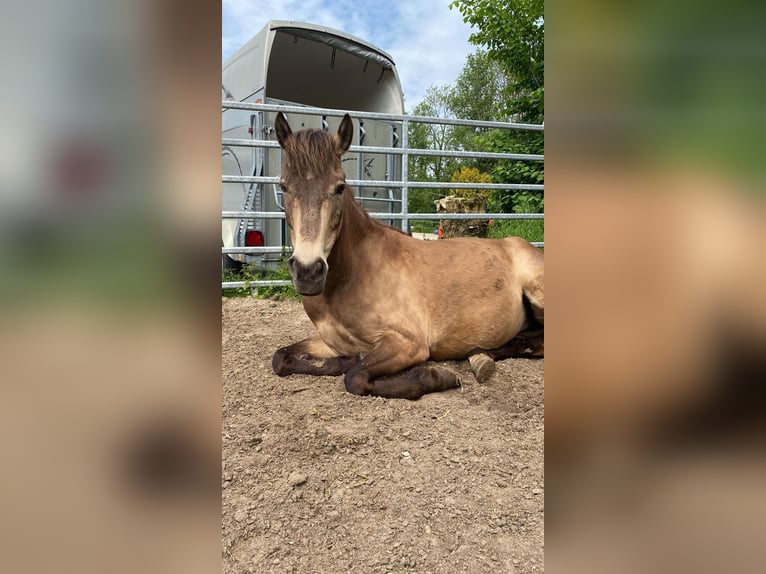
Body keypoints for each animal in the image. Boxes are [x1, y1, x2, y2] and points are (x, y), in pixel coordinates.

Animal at [272, 112, 544, 400]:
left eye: (339, 187)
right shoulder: (330, 342)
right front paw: (342, 361)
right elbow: (282, 358)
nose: (308, 272)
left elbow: (355, 377)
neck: (351, 277)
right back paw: (480, 356)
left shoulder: (407, 344)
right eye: (284, 186)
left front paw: (438, 377)